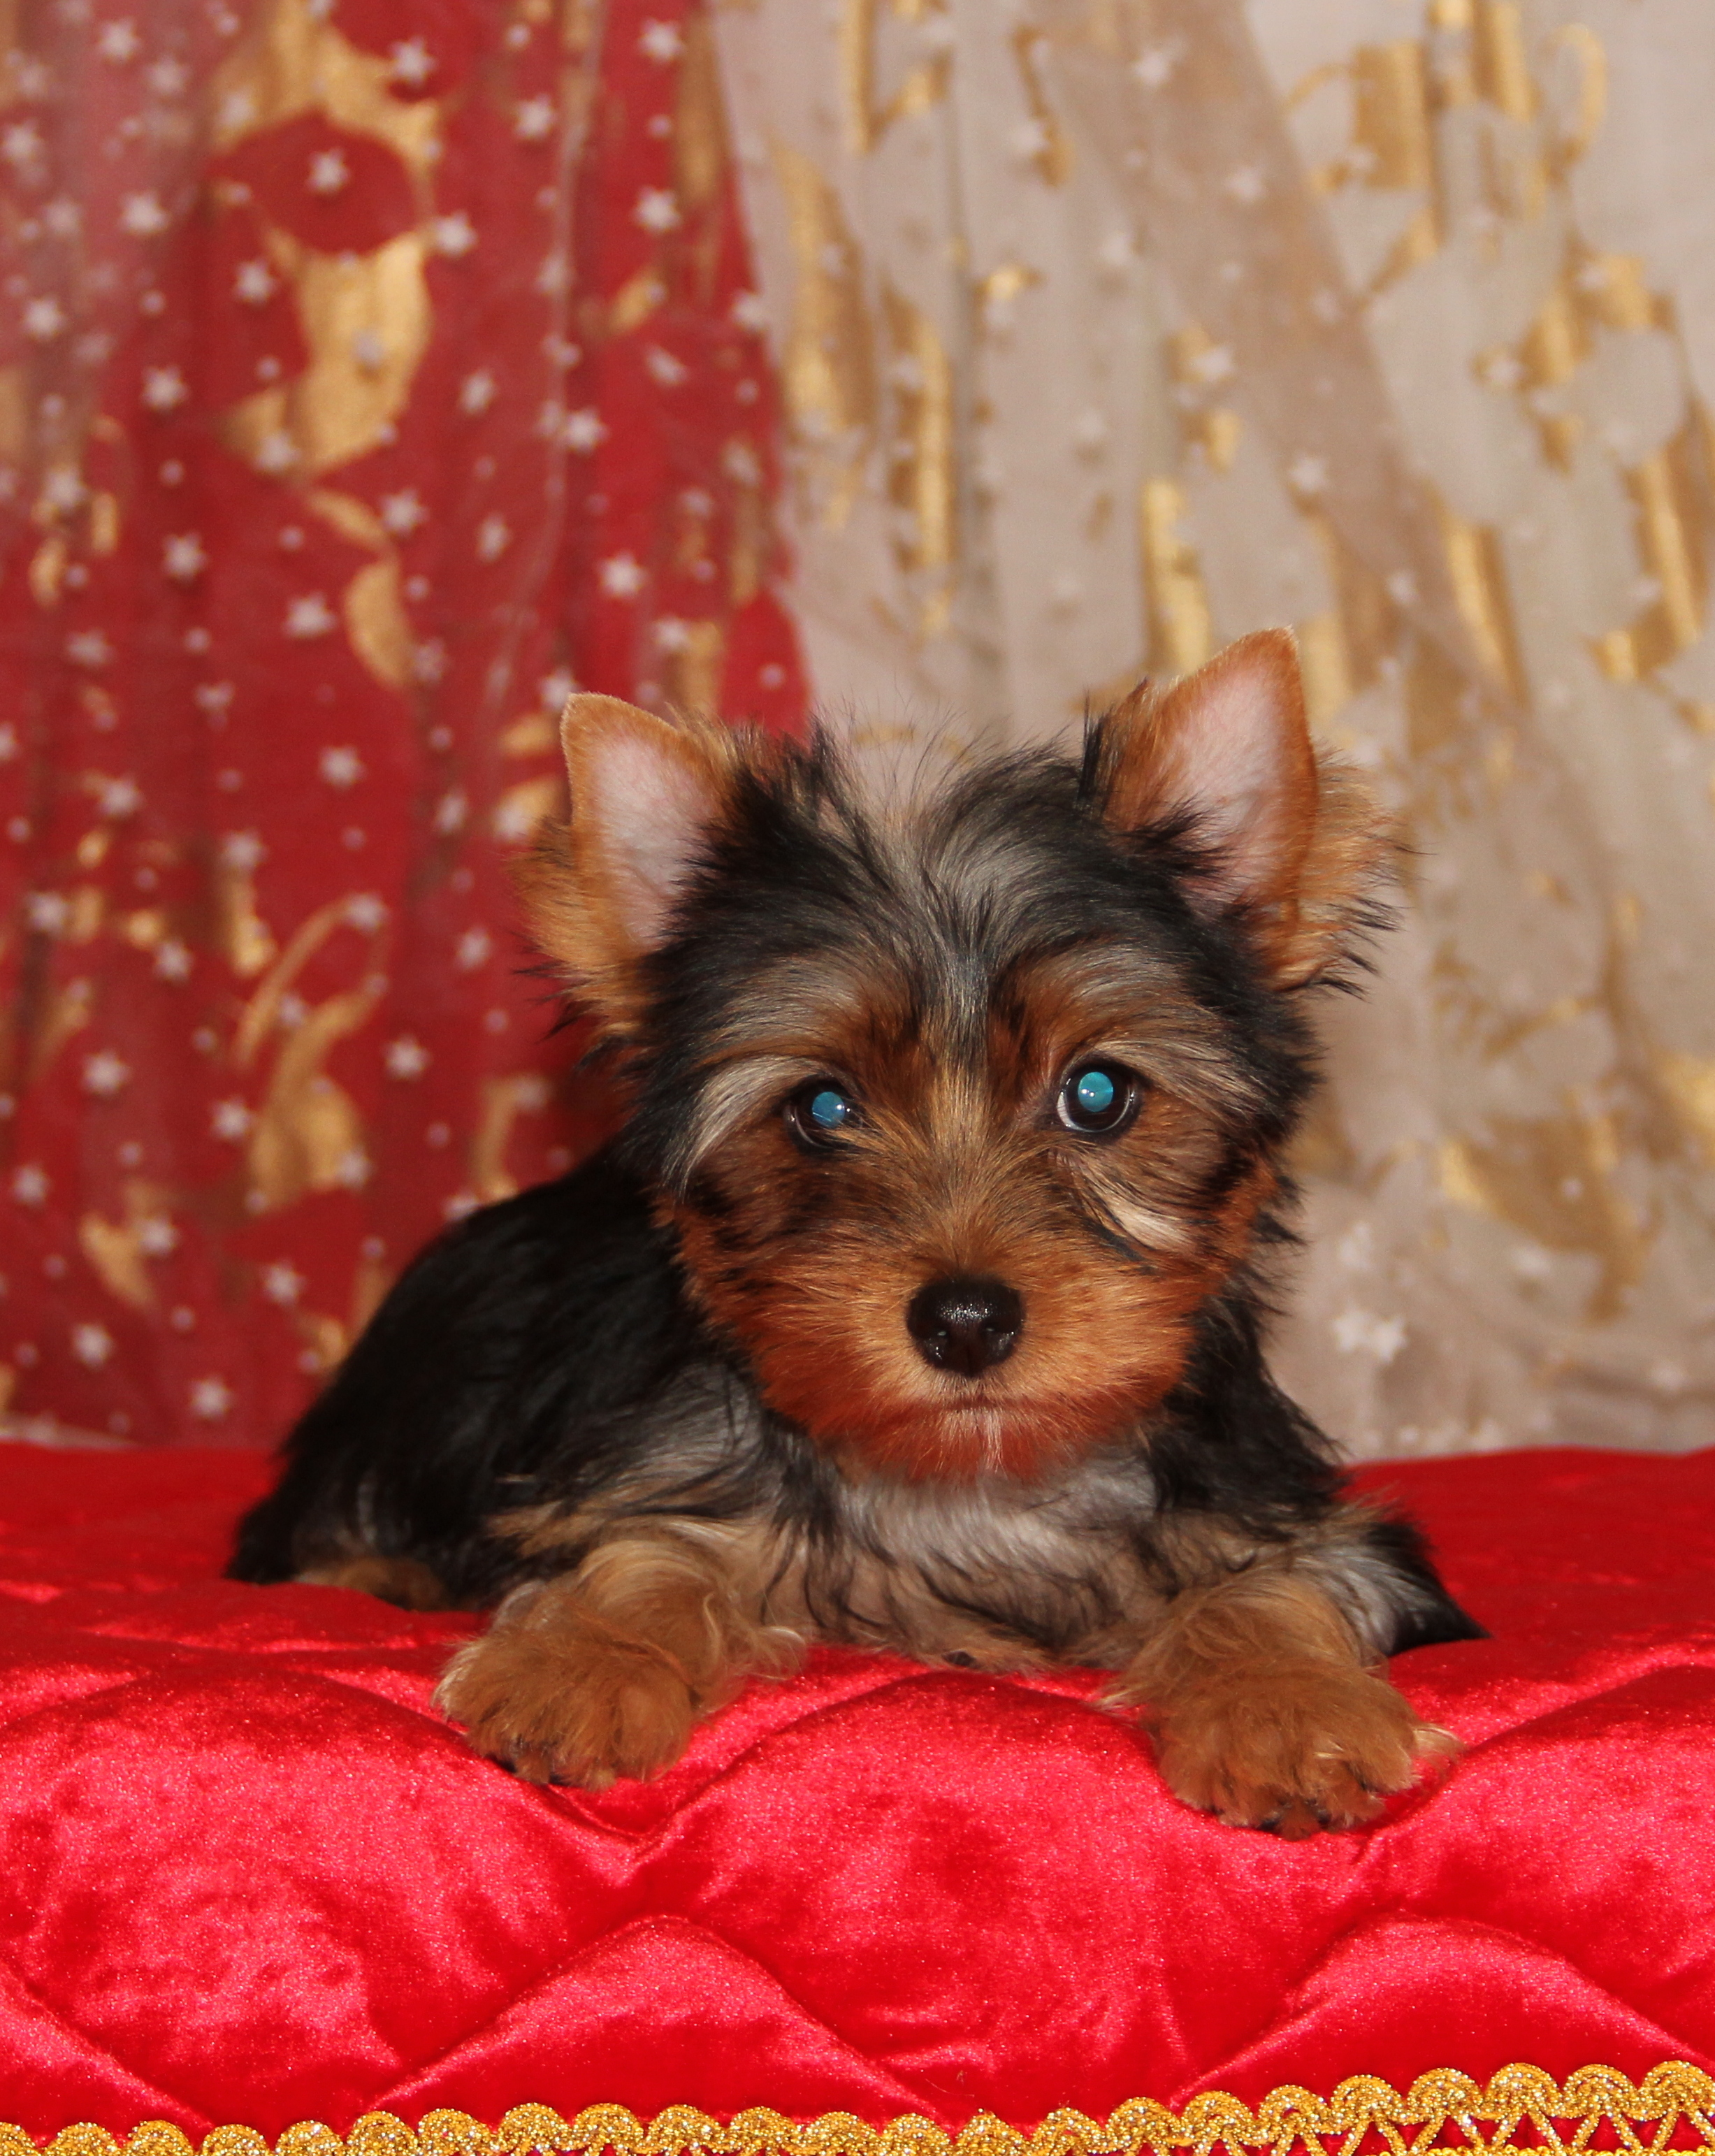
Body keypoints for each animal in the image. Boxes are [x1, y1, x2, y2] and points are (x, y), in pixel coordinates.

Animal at [229, 628, 1483, 1837]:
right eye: (822, 1108)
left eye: (1096, 1095)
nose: (966, 1319)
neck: (967, 1478)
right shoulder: (649, 1468)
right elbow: (649, 1550)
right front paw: (578, 1666)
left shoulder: (1289, 1516)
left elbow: (1281, 1584)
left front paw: (1287, 1711)